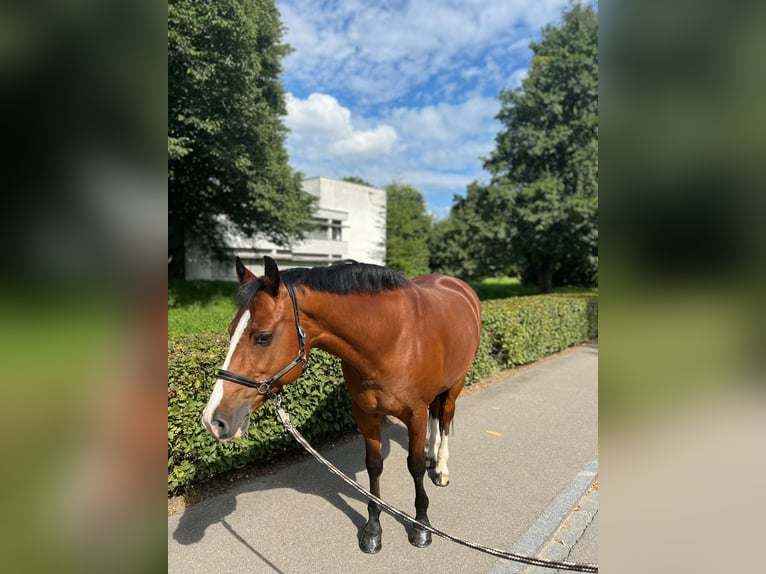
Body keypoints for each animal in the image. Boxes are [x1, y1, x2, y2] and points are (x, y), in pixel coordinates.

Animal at [201, 256, 484, 552]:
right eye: (231, 331)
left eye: (263, 337)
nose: (213, 420)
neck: (393, 338)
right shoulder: (366, 414)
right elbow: (374, 465)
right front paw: (373, 529)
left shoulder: (414, 414)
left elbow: (414, 466)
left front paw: (421, 526)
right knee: (435, 417)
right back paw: (431, 454)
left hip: (455, 384)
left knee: (445, 419)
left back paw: (440, 469)